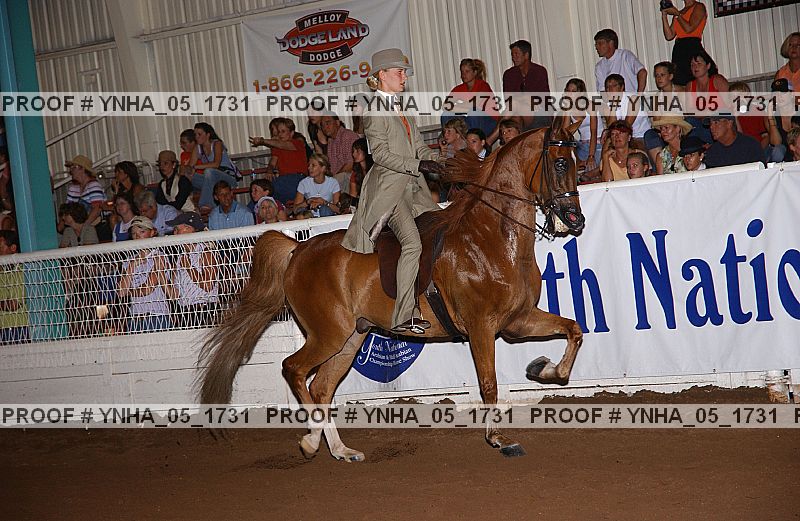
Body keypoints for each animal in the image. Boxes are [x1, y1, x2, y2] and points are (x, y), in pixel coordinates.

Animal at [198, 125, 586, 461]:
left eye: (577, 160)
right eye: (560, 162)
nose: (576, 220)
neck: (491, 238)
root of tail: (299, 249)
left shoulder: (517, 321)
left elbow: (573, 330)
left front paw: (545, 369)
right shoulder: (481, 327)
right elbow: (488, 383)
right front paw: (498, 438)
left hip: (350, 338)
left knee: (321, 387)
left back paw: (341, 450)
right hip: (328, 334)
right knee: (294, 369)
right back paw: (310, 442)